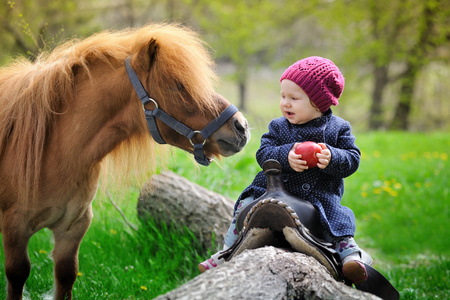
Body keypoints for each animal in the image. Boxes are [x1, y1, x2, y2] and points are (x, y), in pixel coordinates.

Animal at [0, 24, 250, 300]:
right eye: (178, 85)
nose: (241, 127)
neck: (54, 151)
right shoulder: (15, 227)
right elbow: (17, 273)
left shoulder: (72, 228)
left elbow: (66, 274)